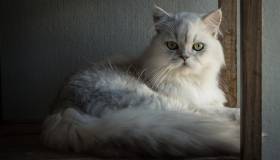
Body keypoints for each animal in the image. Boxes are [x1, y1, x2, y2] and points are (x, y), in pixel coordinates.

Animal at [42, 5, 241, 158]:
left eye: (198, 47)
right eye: (172, 46)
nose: (184, 57)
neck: (189, 81)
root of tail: (64, 112)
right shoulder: (192, 102)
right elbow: (218, 110)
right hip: (161, 103)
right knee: (204, 117)